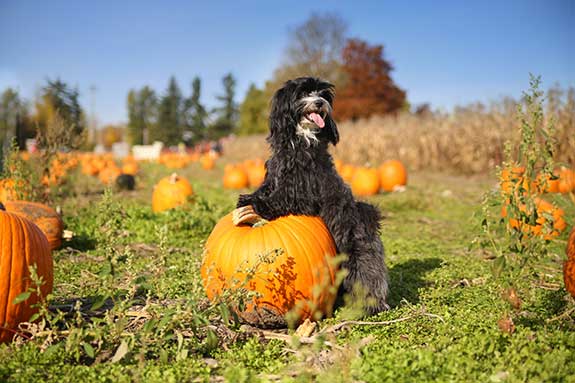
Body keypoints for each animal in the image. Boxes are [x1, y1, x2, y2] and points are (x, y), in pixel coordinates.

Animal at [234, 76, 392, 316]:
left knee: (368, 279)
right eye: (303, 93)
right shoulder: (275, 174)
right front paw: (250, 196)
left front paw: (256, 203)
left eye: (323, 94)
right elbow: (266, 187)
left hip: (358, 258)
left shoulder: (302, 191)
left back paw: (369, 307)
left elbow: (279, 199)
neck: (302, 140)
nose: (319, 102)